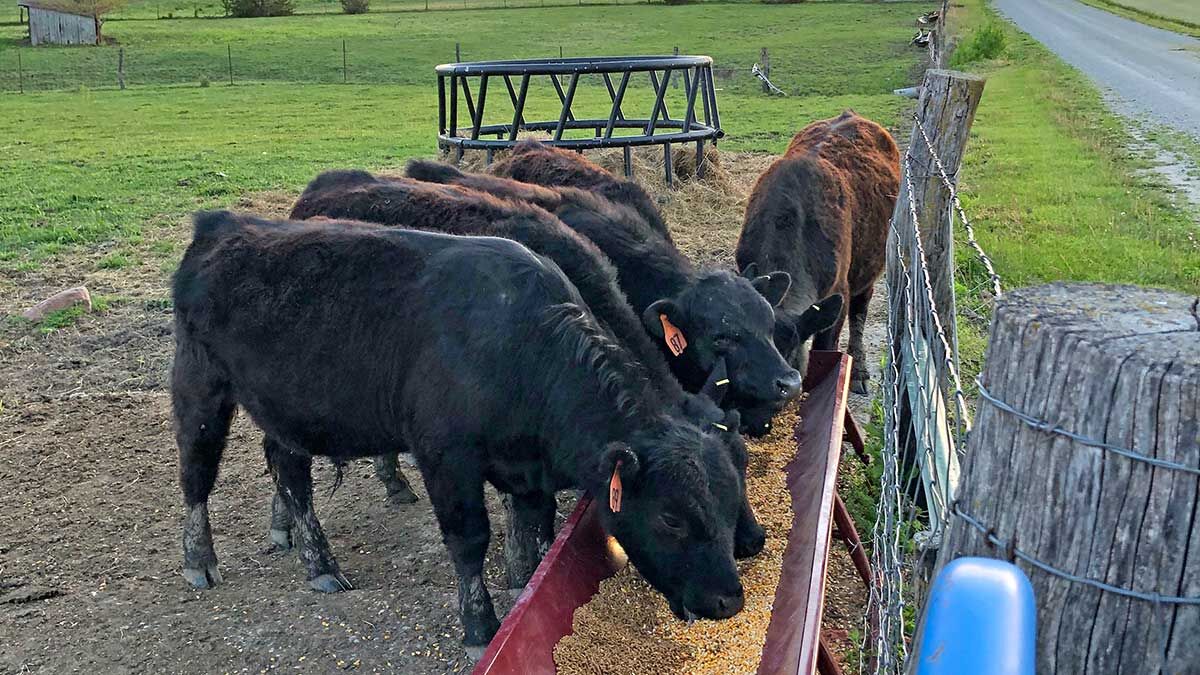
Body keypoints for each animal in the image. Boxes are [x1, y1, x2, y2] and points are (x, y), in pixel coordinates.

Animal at [174, 211, 752, 650]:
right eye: (671, 518)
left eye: (731, 499)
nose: (730, 599)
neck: (521, 347)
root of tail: (223, 223)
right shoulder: (445, 457)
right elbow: (469, 540)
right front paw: (481, 626)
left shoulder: (528, 470)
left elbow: (534, 532)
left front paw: (523, 590)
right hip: (199, 386)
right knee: (197, 470)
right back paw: (200, 560)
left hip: (287, 411)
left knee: (290, 475)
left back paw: (316, 560)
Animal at [736, 111, 900, 395]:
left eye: (787, 354)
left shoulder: (839, 294)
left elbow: (826, 348)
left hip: (869, 269)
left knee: (860, 312)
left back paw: (859, 372)